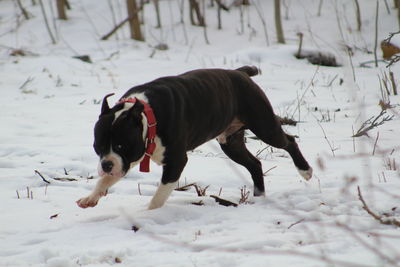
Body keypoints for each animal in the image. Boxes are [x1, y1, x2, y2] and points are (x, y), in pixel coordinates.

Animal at [76, 66, 312, 210]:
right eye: (98, 147)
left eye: (120, 145)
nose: (105, 164)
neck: (147, 115)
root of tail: (241, 73)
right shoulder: (131, 158)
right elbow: (105, 179)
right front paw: (90, 197)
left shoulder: (173, 161)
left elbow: (160, 195)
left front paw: (148, 212)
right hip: (231, 143)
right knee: (254, 163)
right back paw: (258, 196)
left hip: (265, 127)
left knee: (289, 141)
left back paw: (305, 170)